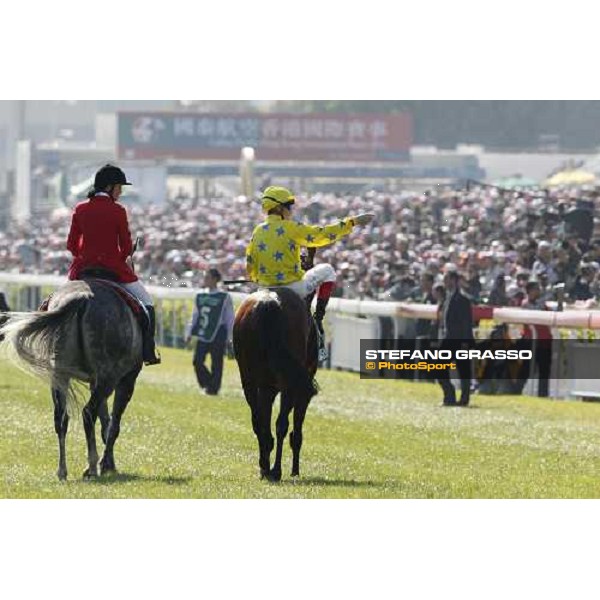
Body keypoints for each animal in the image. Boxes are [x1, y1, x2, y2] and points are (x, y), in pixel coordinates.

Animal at [0, 276, 144, 478]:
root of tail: (82, 297)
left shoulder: (94, 381)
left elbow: (105, 421)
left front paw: (108, 463)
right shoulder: (127, 379)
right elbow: (113, 424)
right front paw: (106, 464)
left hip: (60, 376)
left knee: (61, 418)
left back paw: (62, 470)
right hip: (108, 378)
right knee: (88, 413)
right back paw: (91, 467)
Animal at [233, 282, 318, 482]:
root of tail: (268, 303)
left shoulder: (267, 388)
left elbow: (263, 421)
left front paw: (265, 464)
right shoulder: (299, 389)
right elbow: (292, 427)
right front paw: (293, 469)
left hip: (248, 379)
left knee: (257, 421)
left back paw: (265, 466)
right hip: (288, 385)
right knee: (281, 425)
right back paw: (276, 470)